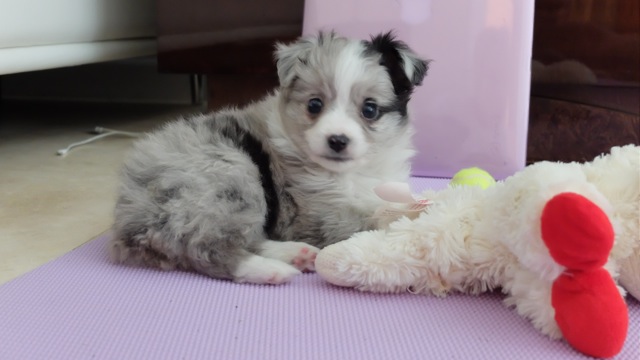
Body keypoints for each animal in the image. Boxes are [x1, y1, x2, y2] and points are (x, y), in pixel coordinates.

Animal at [110, 31, 430, 284]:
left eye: (370, 109)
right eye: (314, 105)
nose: (337, 140)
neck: (350, 173)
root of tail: (130, 214)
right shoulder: (316, 216)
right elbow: (375, 218)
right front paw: (416, 218)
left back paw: (295, 254)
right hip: (230, 177)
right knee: (207, 248)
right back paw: (271, 269)